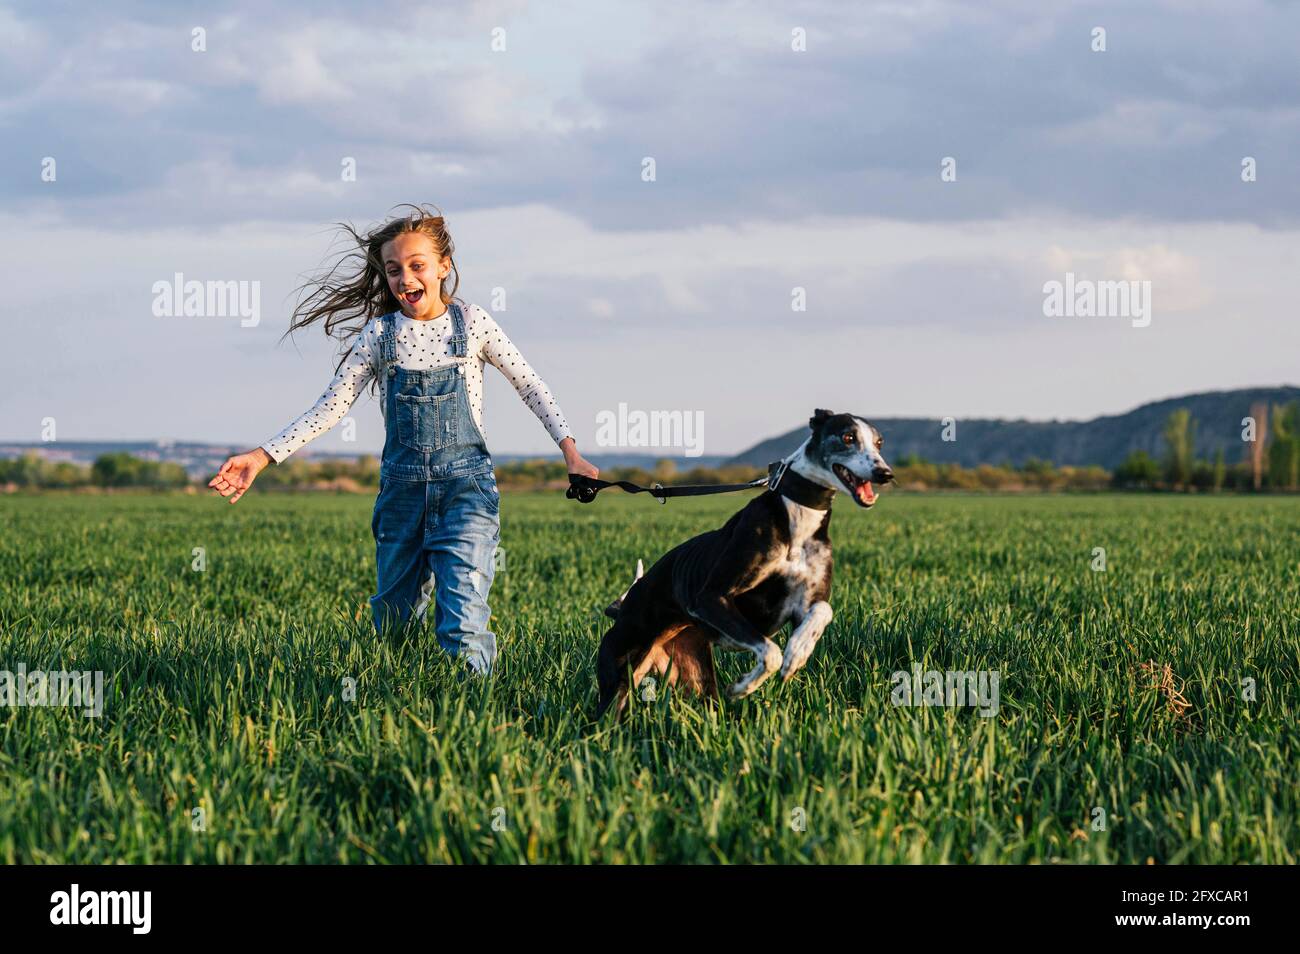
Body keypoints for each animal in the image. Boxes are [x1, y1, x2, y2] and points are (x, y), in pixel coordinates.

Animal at [595, 408, 894, 717]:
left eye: (879, 443)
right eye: (848, 437)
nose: (885, 474)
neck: (798, 515)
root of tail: (622, 609)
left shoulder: (803, 604)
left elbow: (822, 610)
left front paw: (798, 652)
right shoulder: (711, 599)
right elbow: (771, 653)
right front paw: (744, 686)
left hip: (696, 679)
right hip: (617, 679)